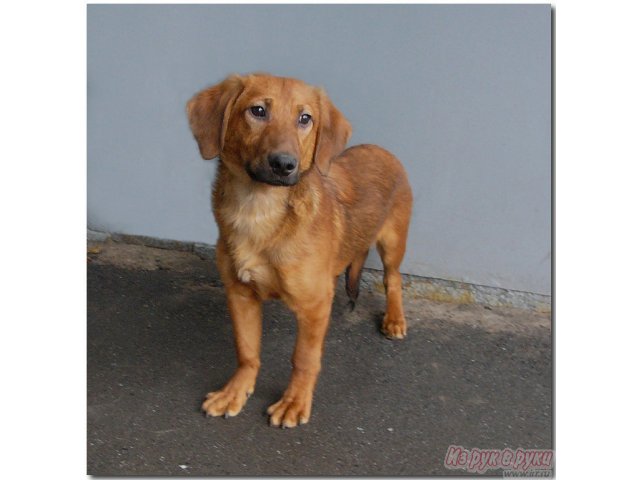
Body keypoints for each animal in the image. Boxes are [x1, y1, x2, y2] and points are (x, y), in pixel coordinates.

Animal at [188, 72, 412, 428]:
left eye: (305, 118)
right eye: (258, 111)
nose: (284, 165)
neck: (259, 210)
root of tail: (381, 148)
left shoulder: (313, 306)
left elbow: (304, 358)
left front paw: (294, 401)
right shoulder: (239, 293)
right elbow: (247, 351)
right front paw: (236, 391)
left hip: (393, 243)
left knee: (393, 279)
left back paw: (394, 319)